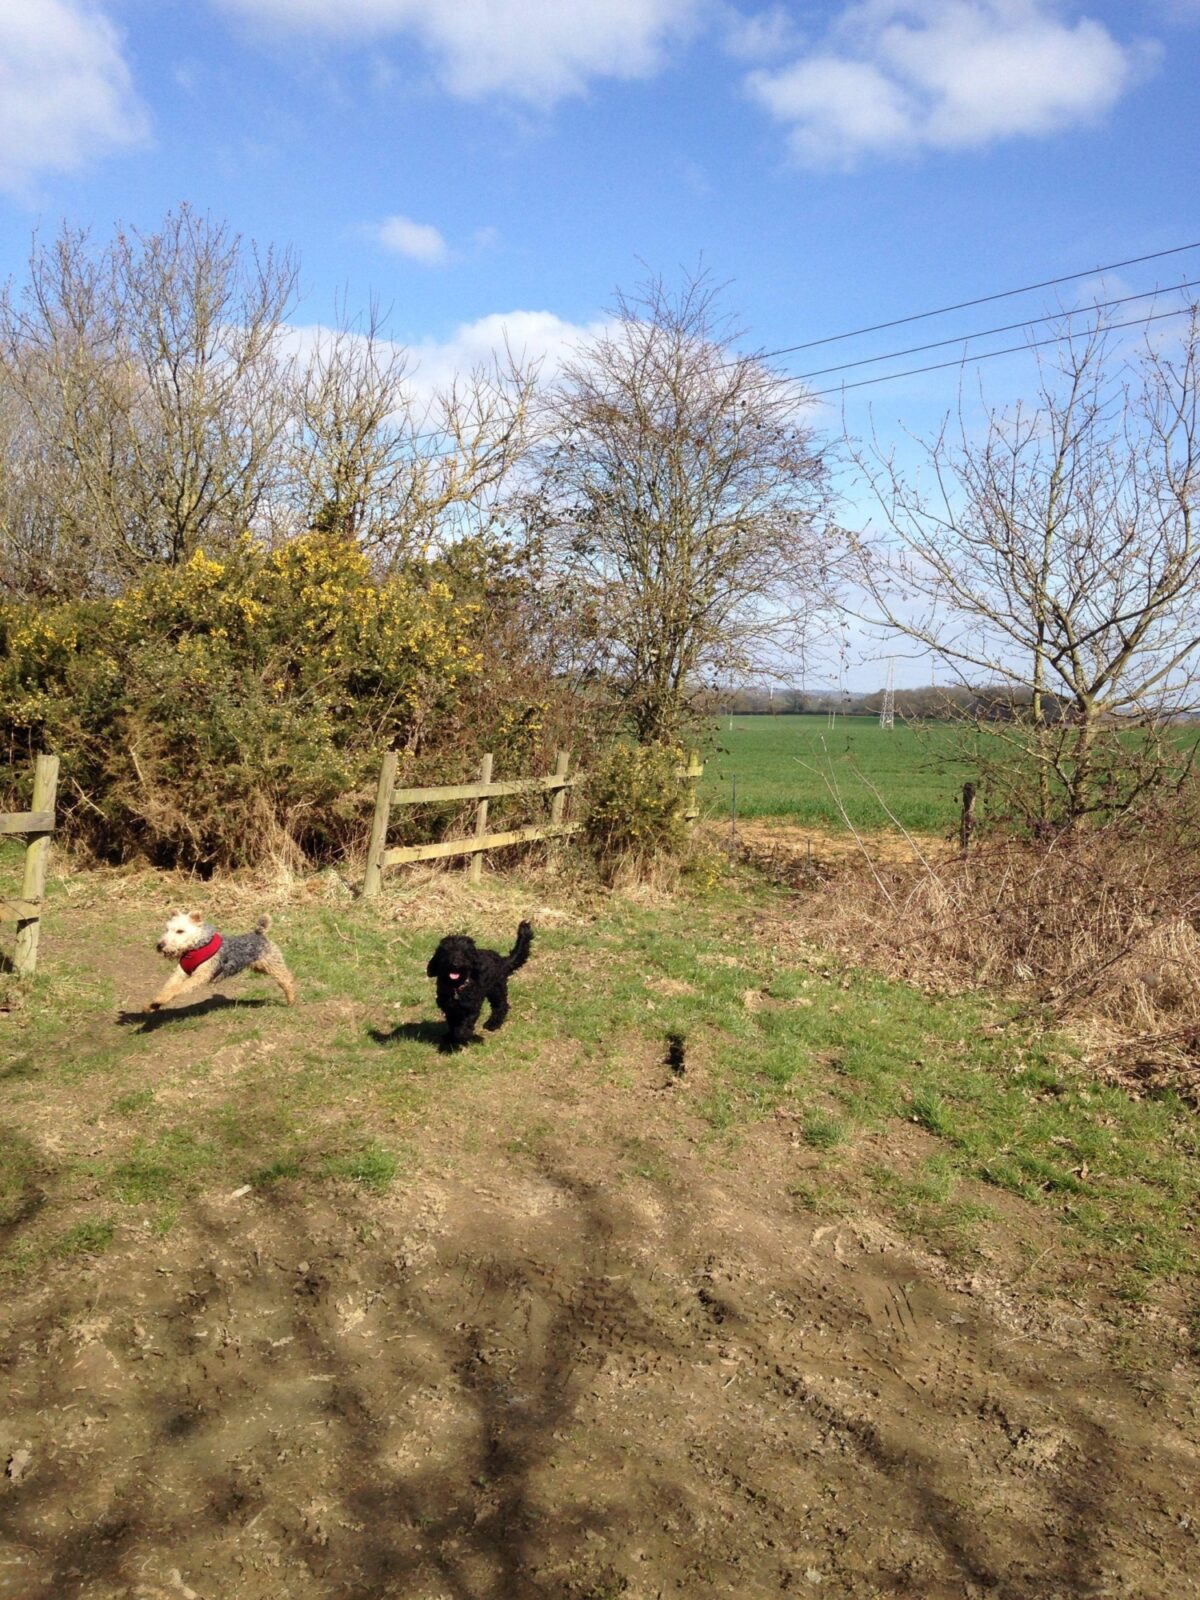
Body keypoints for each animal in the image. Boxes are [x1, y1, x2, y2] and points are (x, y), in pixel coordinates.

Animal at [147, 915, 297, 1011]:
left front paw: (159, 1000)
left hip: (274, 964)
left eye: (180, 931)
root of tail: (259, 933)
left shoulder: (200, 975)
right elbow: (169, 987)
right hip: (261, 967)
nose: (160, 945)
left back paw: (291, 1000)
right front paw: (153, 1004)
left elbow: (178, 988)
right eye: (167, 929)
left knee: (287, 979)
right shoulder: (180, 972)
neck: (196, 948)